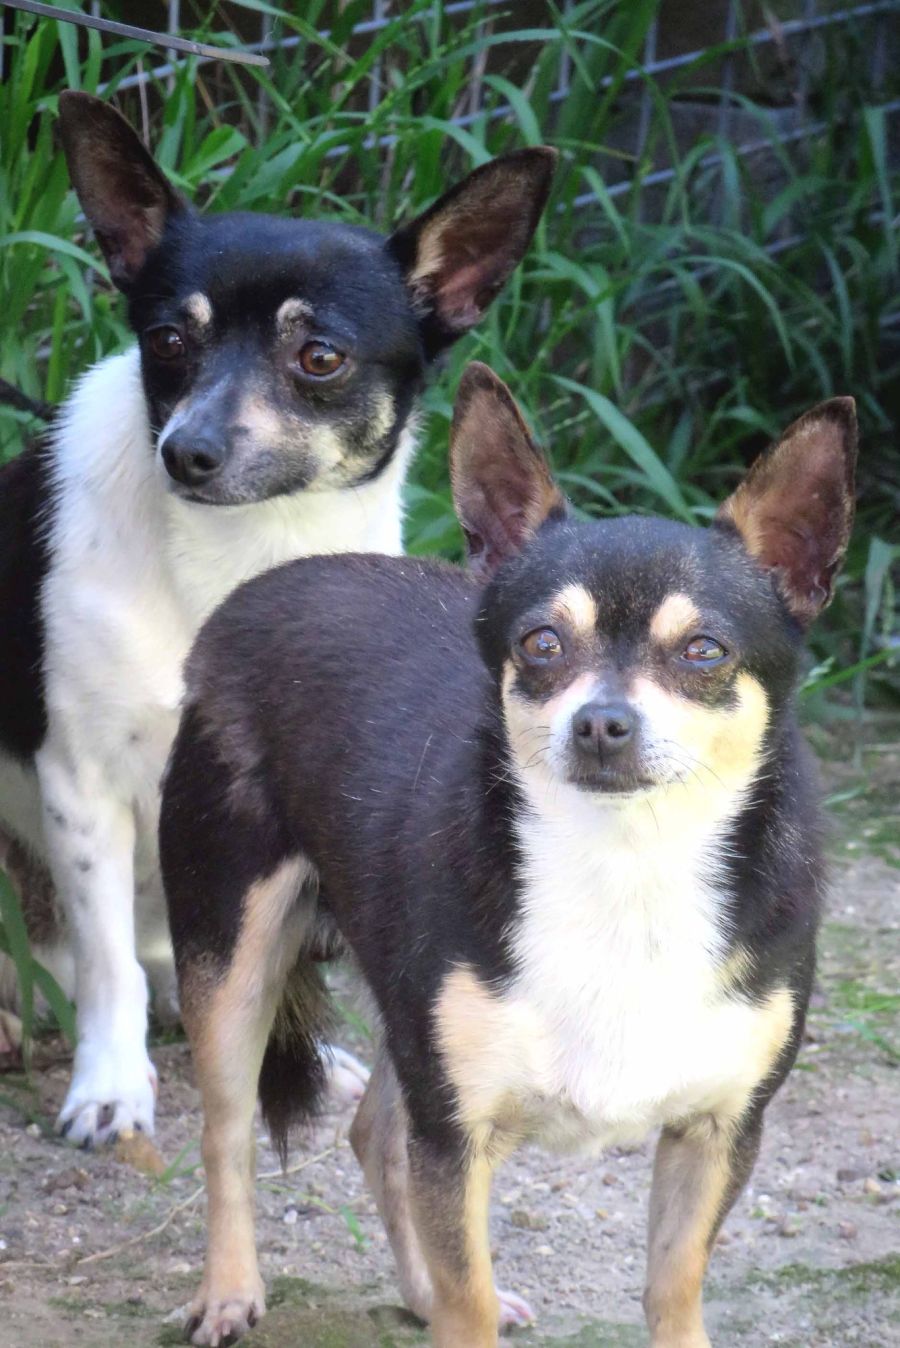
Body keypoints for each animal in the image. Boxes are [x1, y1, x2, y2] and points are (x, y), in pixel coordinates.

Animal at [0, 92, 552, 1148]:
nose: (189, 451)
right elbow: (106, 963)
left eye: (319, 357)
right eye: (168, 341)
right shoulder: (81, 787)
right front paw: (110, 1087)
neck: (237, 556)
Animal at [161, 366, 856, 1348]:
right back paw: (228, 1291)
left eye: (703, 651)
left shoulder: (717, 1133)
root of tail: (275, 579)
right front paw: (447, 1301)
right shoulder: (458, 1131)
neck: (627, 864)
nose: (602, 723)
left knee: (376, 1134)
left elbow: (672, 1287)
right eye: (542, 644)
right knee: (227, 1133)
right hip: (232, 954)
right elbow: (470, 1298)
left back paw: (410, 1291)